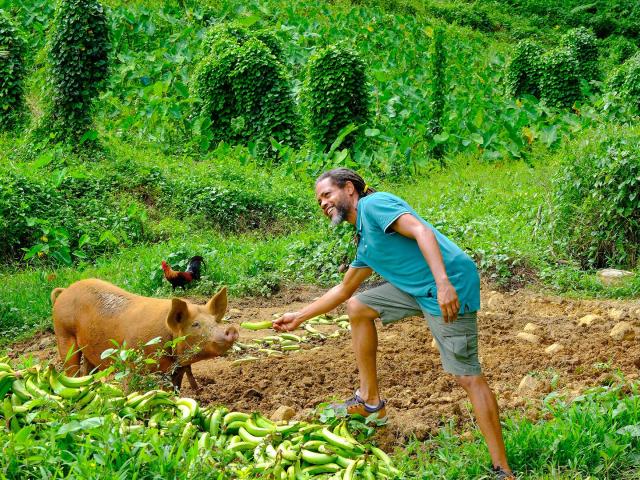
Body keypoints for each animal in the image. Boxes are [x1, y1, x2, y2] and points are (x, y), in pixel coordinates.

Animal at [51, 278, 239, 390]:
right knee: (71, 369)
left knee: (88, 371)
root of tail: (65, 291)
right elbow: (130, 387)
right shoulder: (130, 360)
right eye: (195, 324)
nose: (231, 330)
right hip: (63, 334)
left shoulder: (176, 369)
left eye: (215, 321)